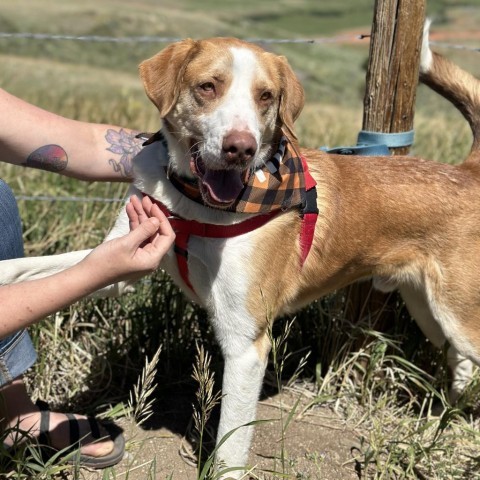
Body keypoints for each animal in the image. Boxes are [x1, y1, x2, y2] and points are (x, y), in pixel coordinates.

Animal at [2, 24, 480, 474]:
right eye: (207, 87)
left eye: (266, 96)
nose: (240, 148)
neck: (195, 203)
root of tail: (468, 171)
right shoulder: (123, 262)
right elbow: (48, 268)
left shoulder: (245, 342)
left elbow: (230, 441)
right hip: (429, 309)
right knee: (460, 363)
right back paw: (449, 411)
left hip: (456, 315)